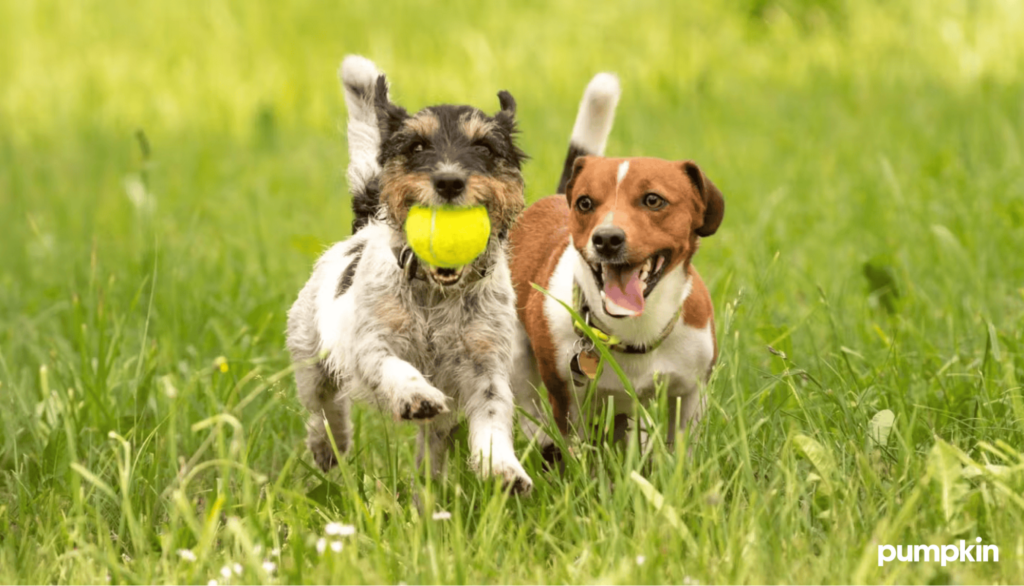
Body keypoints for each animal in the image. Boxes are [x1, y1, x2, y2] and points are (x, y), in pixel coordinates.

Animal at [284, 54, 532, 491]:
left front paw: (503, 467)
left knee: (431, 446)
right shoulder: (372, 344)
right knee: (323, 408)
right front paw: (416, 396)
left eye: (484, 147)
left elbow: (493, 413)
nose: (449, 181)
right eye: (416, 145)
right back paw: (329, 446)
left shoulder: (486, 364)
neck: (436, 293)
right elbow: (394, 367)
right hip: (310, 356)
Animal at [509, 77, 720, 452]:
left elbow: (681, 449)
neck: (635, 333)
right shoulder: (568, 398)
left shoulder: (689, 394)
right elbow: (575, 449)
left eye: (653, 200)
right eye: (585, 203)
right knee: (528, 406)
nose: (606, 239)